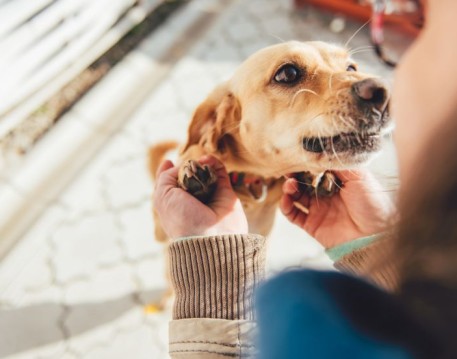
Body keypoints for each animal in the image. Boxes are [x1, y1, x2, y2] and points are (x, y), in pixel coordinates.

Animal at [149, 40, 388, 245]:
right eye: (288, 73)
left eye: (351, 68)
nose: (383, 93)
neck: (253, 180)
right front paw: (195, 181)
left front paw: (319, 176)